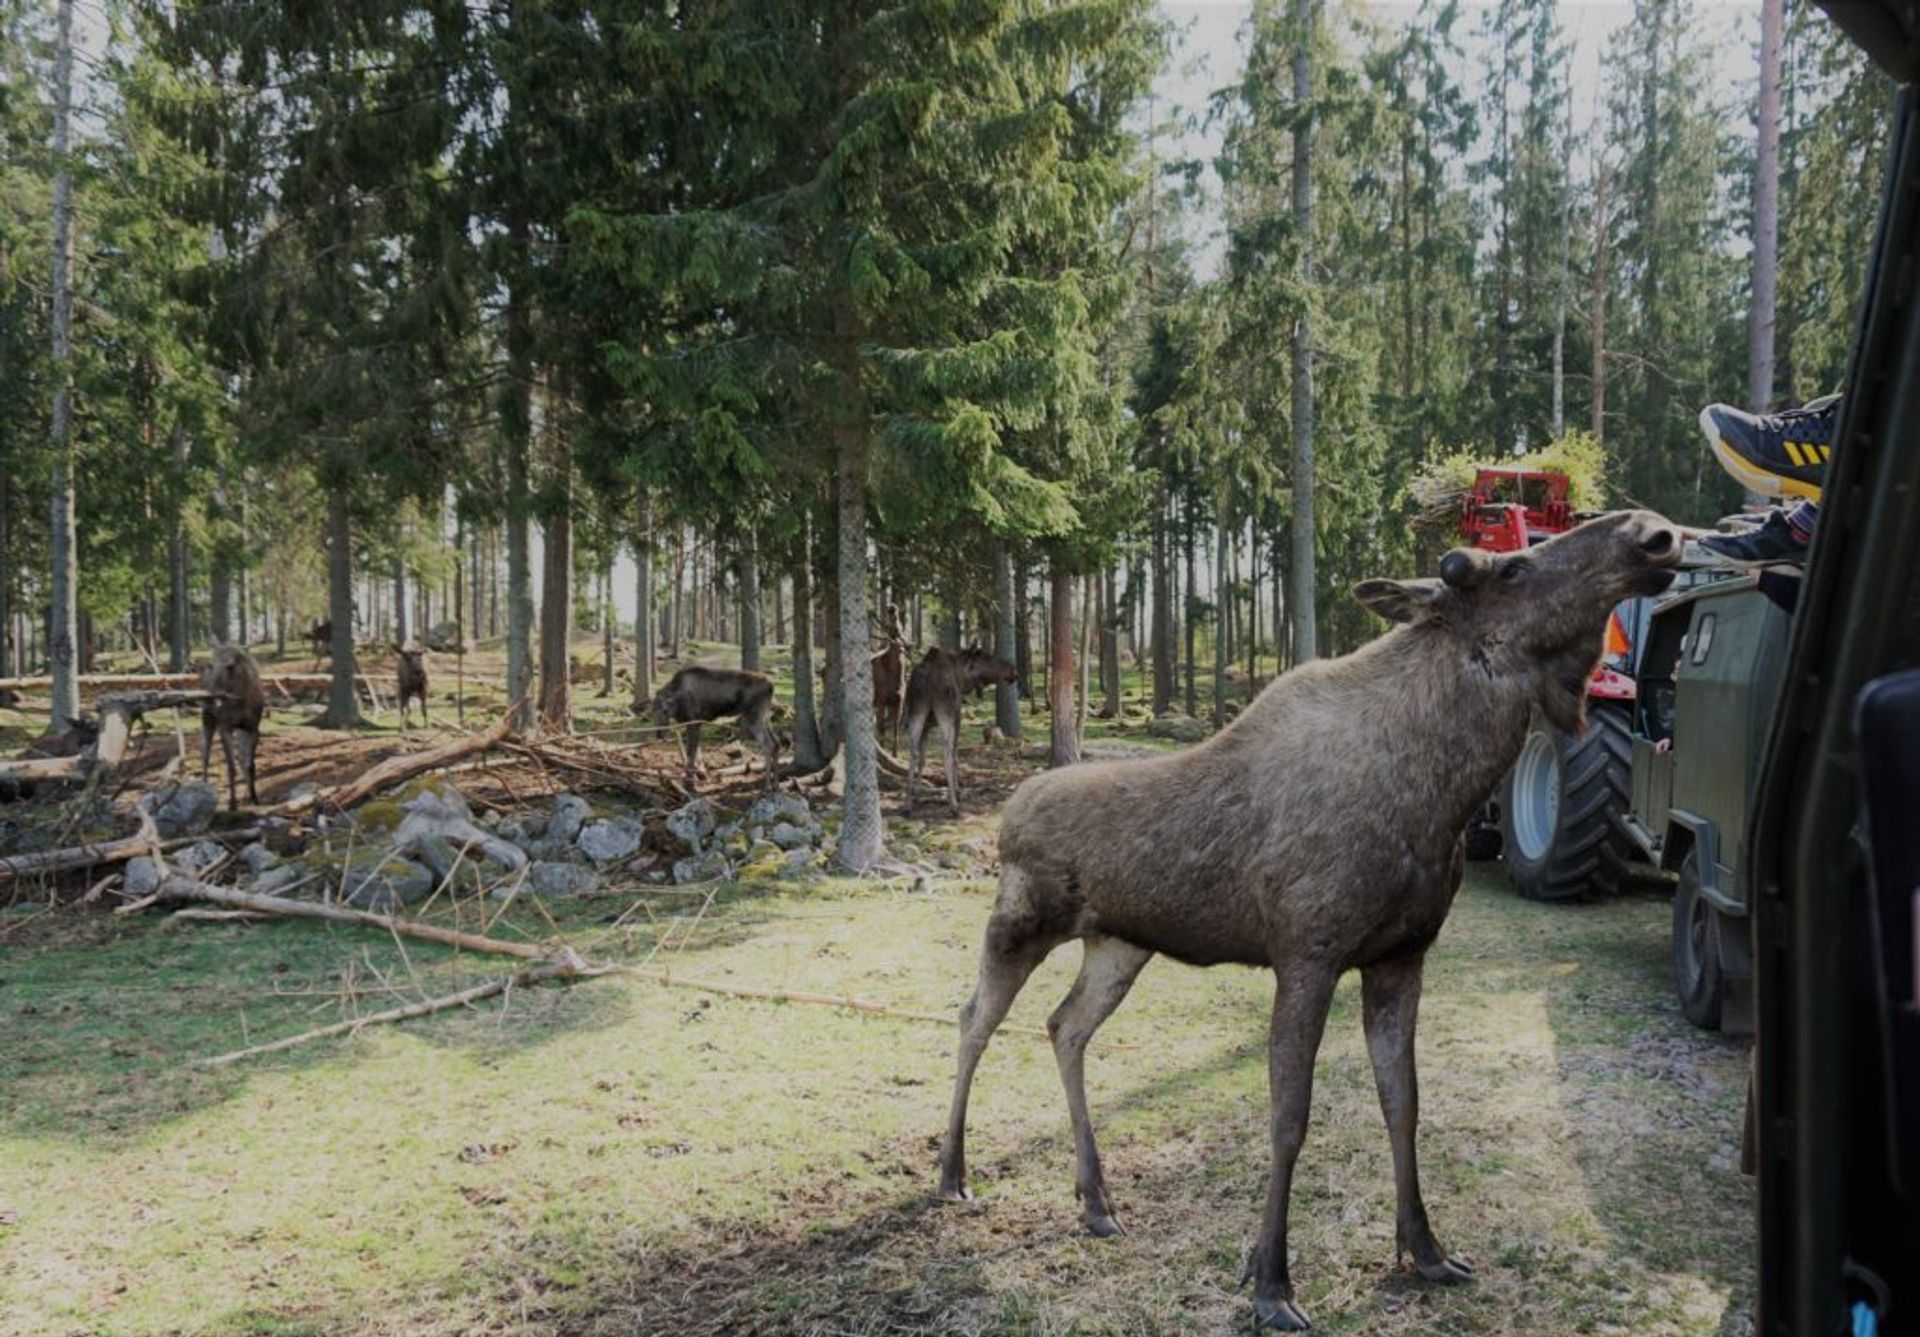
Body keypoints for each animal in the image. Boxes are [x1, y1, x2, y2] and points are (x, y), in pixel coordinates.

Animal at [198, 641, 266, 810]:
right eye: (210, 665)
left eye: (230, 666)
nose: (210, 700)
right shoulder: (225, 726)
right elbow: (231, 767)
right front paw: (232, 804)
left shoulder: (253, 728)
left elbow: (250, 765)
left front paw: (254, 799)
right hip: (207, 720)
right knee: (205, 754)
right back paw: (203, 787)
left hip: (239, 729)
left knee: (241, 758)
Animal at [645, 664, 779, 787]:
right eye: (652, 713)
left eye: (665, 710)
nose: (659, 734)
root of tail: (771, 686)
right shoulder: (695, 724)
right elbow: (697, 751)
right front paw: (700, 774)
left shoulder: (694, 721)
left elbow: (691, 752)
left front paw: (689, 781)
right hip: (765, 717)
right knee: (776, 743)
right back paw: (775, 783)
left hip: (754, 717)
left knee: (768, 745)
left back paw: (767, 784)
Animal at [902, 641, 1021, 814]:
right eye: (987, 657)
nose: (1013, 671)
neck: (962, 678)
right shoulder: (957, 716)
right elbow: (955, 754)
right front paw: (958, 791)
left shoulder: (927, 724)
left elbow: (922, 757)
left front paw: (917, 793)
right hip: (946, 713)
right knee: (946, 754)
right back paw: (954, 805)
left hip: (916, 710)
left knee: (913, 752)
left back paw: (908, 804)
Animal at [936, 510, 1689, 1329]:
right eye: (1512, 566)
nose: (1653, 531)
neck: (1439, 796)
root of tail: (1007, 813)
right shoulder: (1308, 953)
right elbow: (1289, 1118)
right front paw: (1271, 1281)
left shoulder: (1401, 956)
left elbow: (1404, 1104)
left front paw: (1424, 1249)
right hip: (1019, 922)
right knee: (974, 1018)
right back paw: (951, 1172)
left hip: (1120, 945)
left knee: (1064, 1026)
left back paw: (1097, 1199)